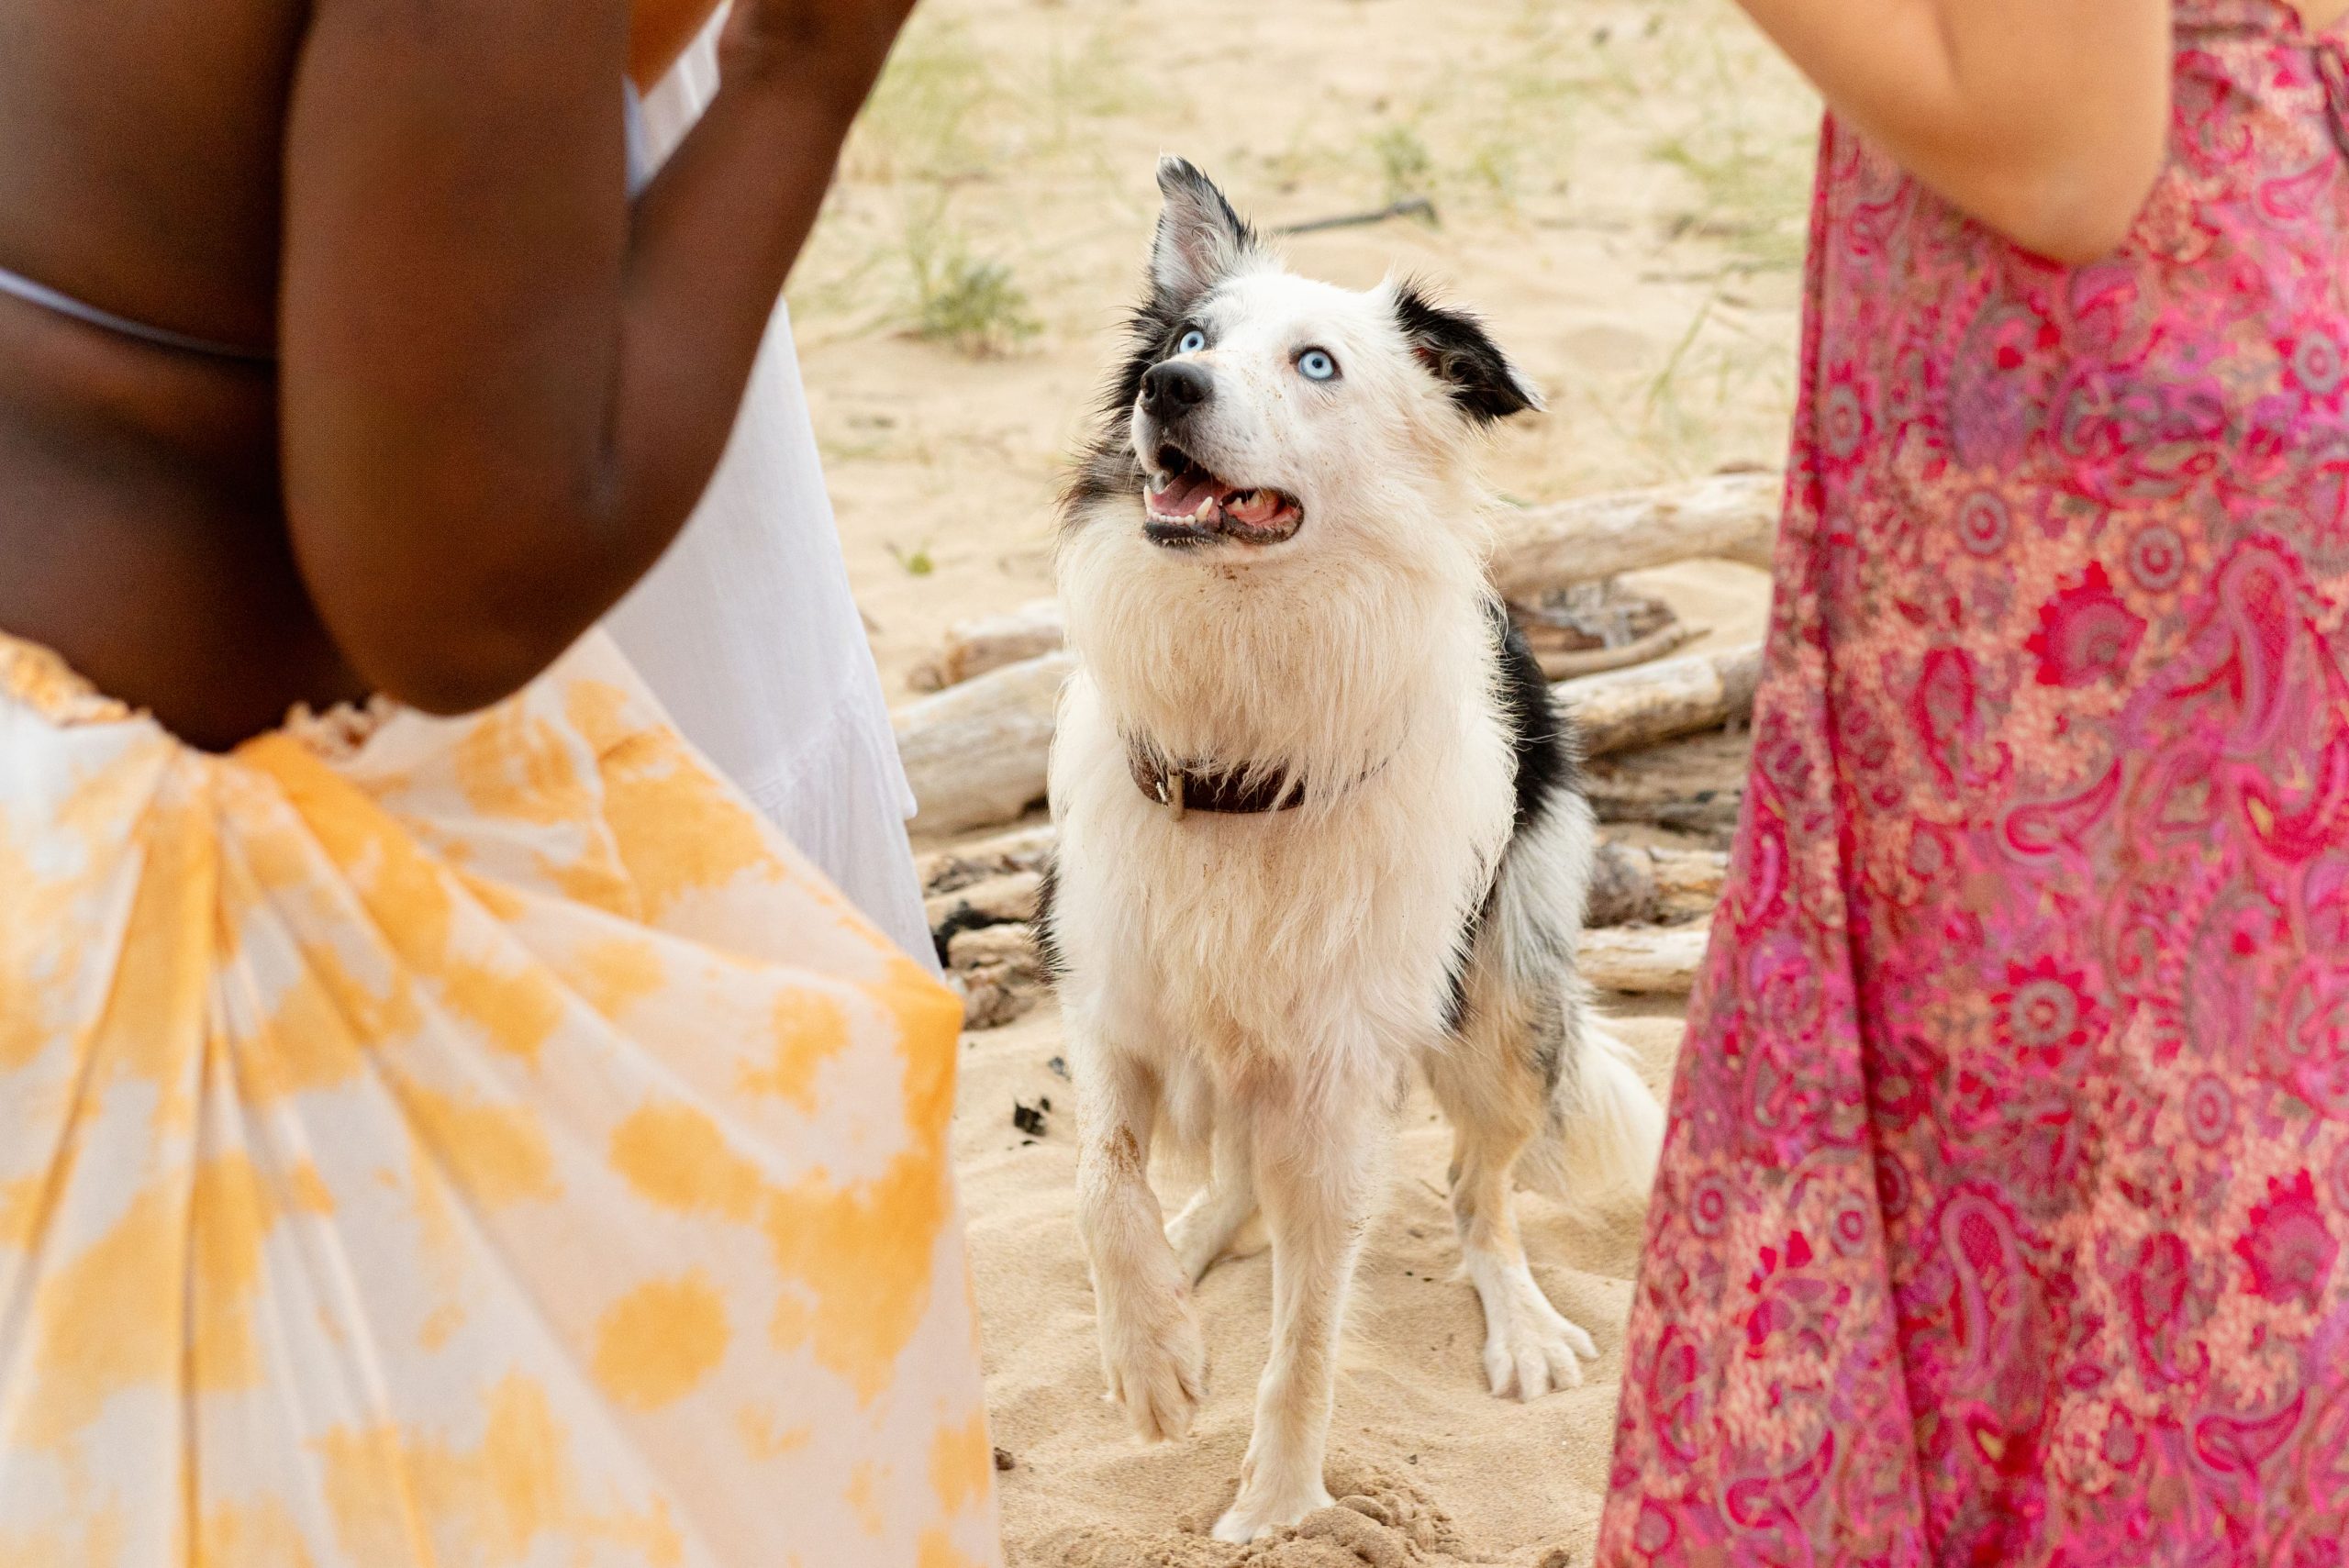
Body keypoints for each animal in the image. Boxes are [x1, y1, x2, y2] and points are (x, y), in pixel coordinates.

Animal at [1047, 161, 1672, 1540]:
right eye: (1188, 339)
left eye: (1317, 364)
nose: (1169, 390)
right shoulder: (1118, 992)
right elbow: (1100, 1181)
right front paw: (1151, 1354)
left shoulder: (1337, 1077)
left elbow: (1312, 1333)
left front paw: (1279, 1504)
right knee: (1234, 1171)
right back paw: (1198, 1238)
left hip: (1499, 1007)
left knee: (1480, 1193)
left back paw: (1523, 1325)